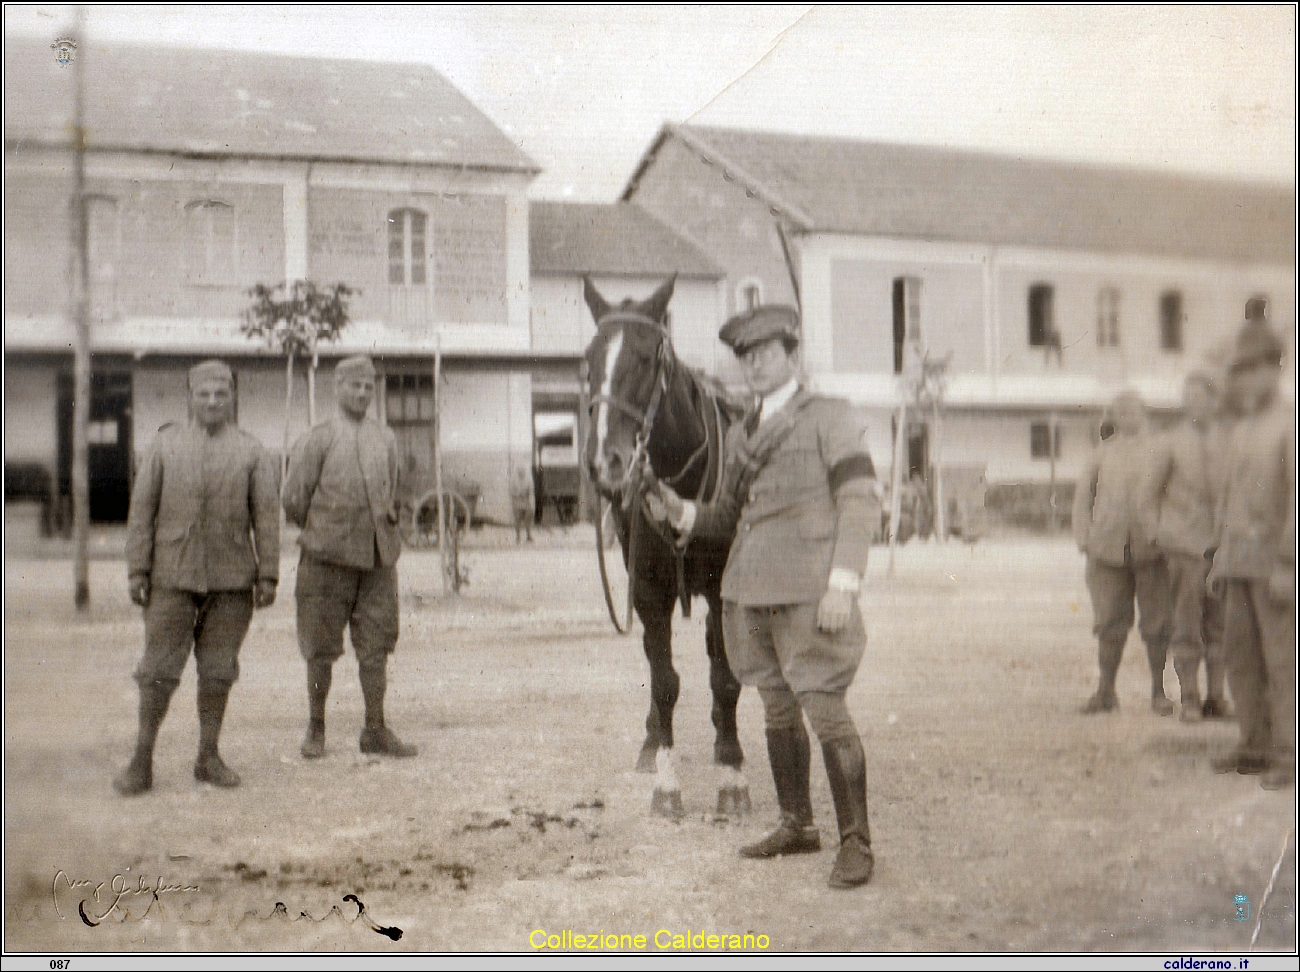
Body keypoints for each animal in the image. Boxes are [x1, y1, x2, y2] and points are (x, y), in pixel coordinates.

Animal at [582, 276, 754, 816]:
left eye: (645, 357)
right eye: (589, 359)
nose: (607, 462)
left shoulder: (721, 592)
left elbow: (724, 679)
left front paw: (732, 776)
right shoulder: (647, 593)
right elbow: (664, 683)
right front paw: (667, 781)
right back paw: (652, 741)